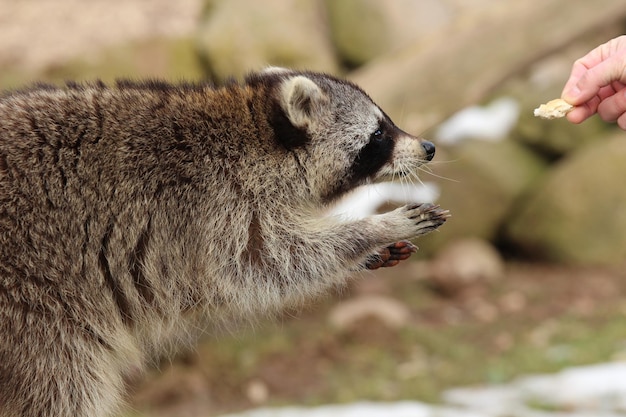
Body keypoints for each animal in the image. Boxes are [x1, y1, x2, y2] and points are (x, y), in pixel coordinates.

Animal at [1, 68, 448, 416]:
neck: (258, 133)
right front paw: (375, 228)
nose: (428, 148)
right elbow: (269, 262)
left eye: (385, 124)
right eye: (378, 135)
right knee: (62, 386)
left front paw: (371, 250)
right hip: (33, 312)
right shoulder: (213, 208)